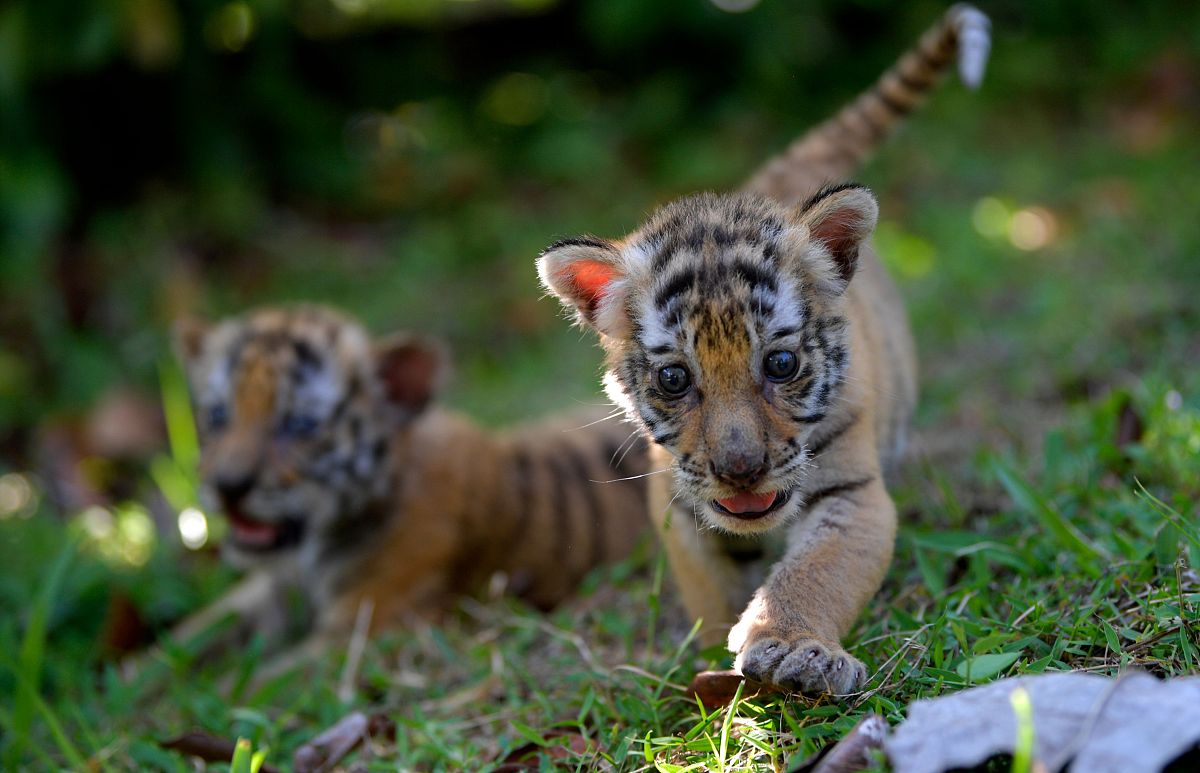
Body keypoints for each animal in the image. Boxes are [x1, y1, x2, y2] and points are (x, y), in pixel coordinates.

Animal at [161, 304, 649, 663]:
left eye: (301, 425)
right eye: (217, 415)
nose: (227, 486)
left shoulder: (365, 625)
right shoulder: (267, 591)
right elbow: (185, 639)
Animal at [536, 5, 990, 696]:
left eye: (780, 365)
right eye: (674, 379)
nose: (741, 471)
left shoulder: (851, 492)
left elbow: (818, 571)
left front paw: (794, 649)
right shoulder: (678, 507)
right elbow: (713, 589)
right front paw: (721, 654)